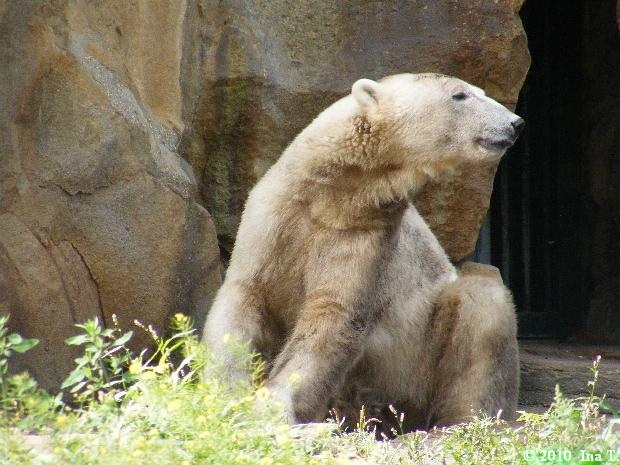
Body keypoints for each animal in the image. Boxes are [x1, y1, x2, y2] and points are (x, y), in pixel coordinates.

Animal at [202, 73, 524, 431]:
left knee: (482, 301)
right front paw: (227, 392)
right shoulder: (274, 216)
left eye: (477, 91)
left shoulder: (364, 233)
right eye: (460, 95)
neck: (335, 191)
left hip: (420, 355)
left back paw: (468, 421)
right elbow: (244, 297)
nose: (515, 123)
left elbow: (333, 316)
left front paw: (272, 405)